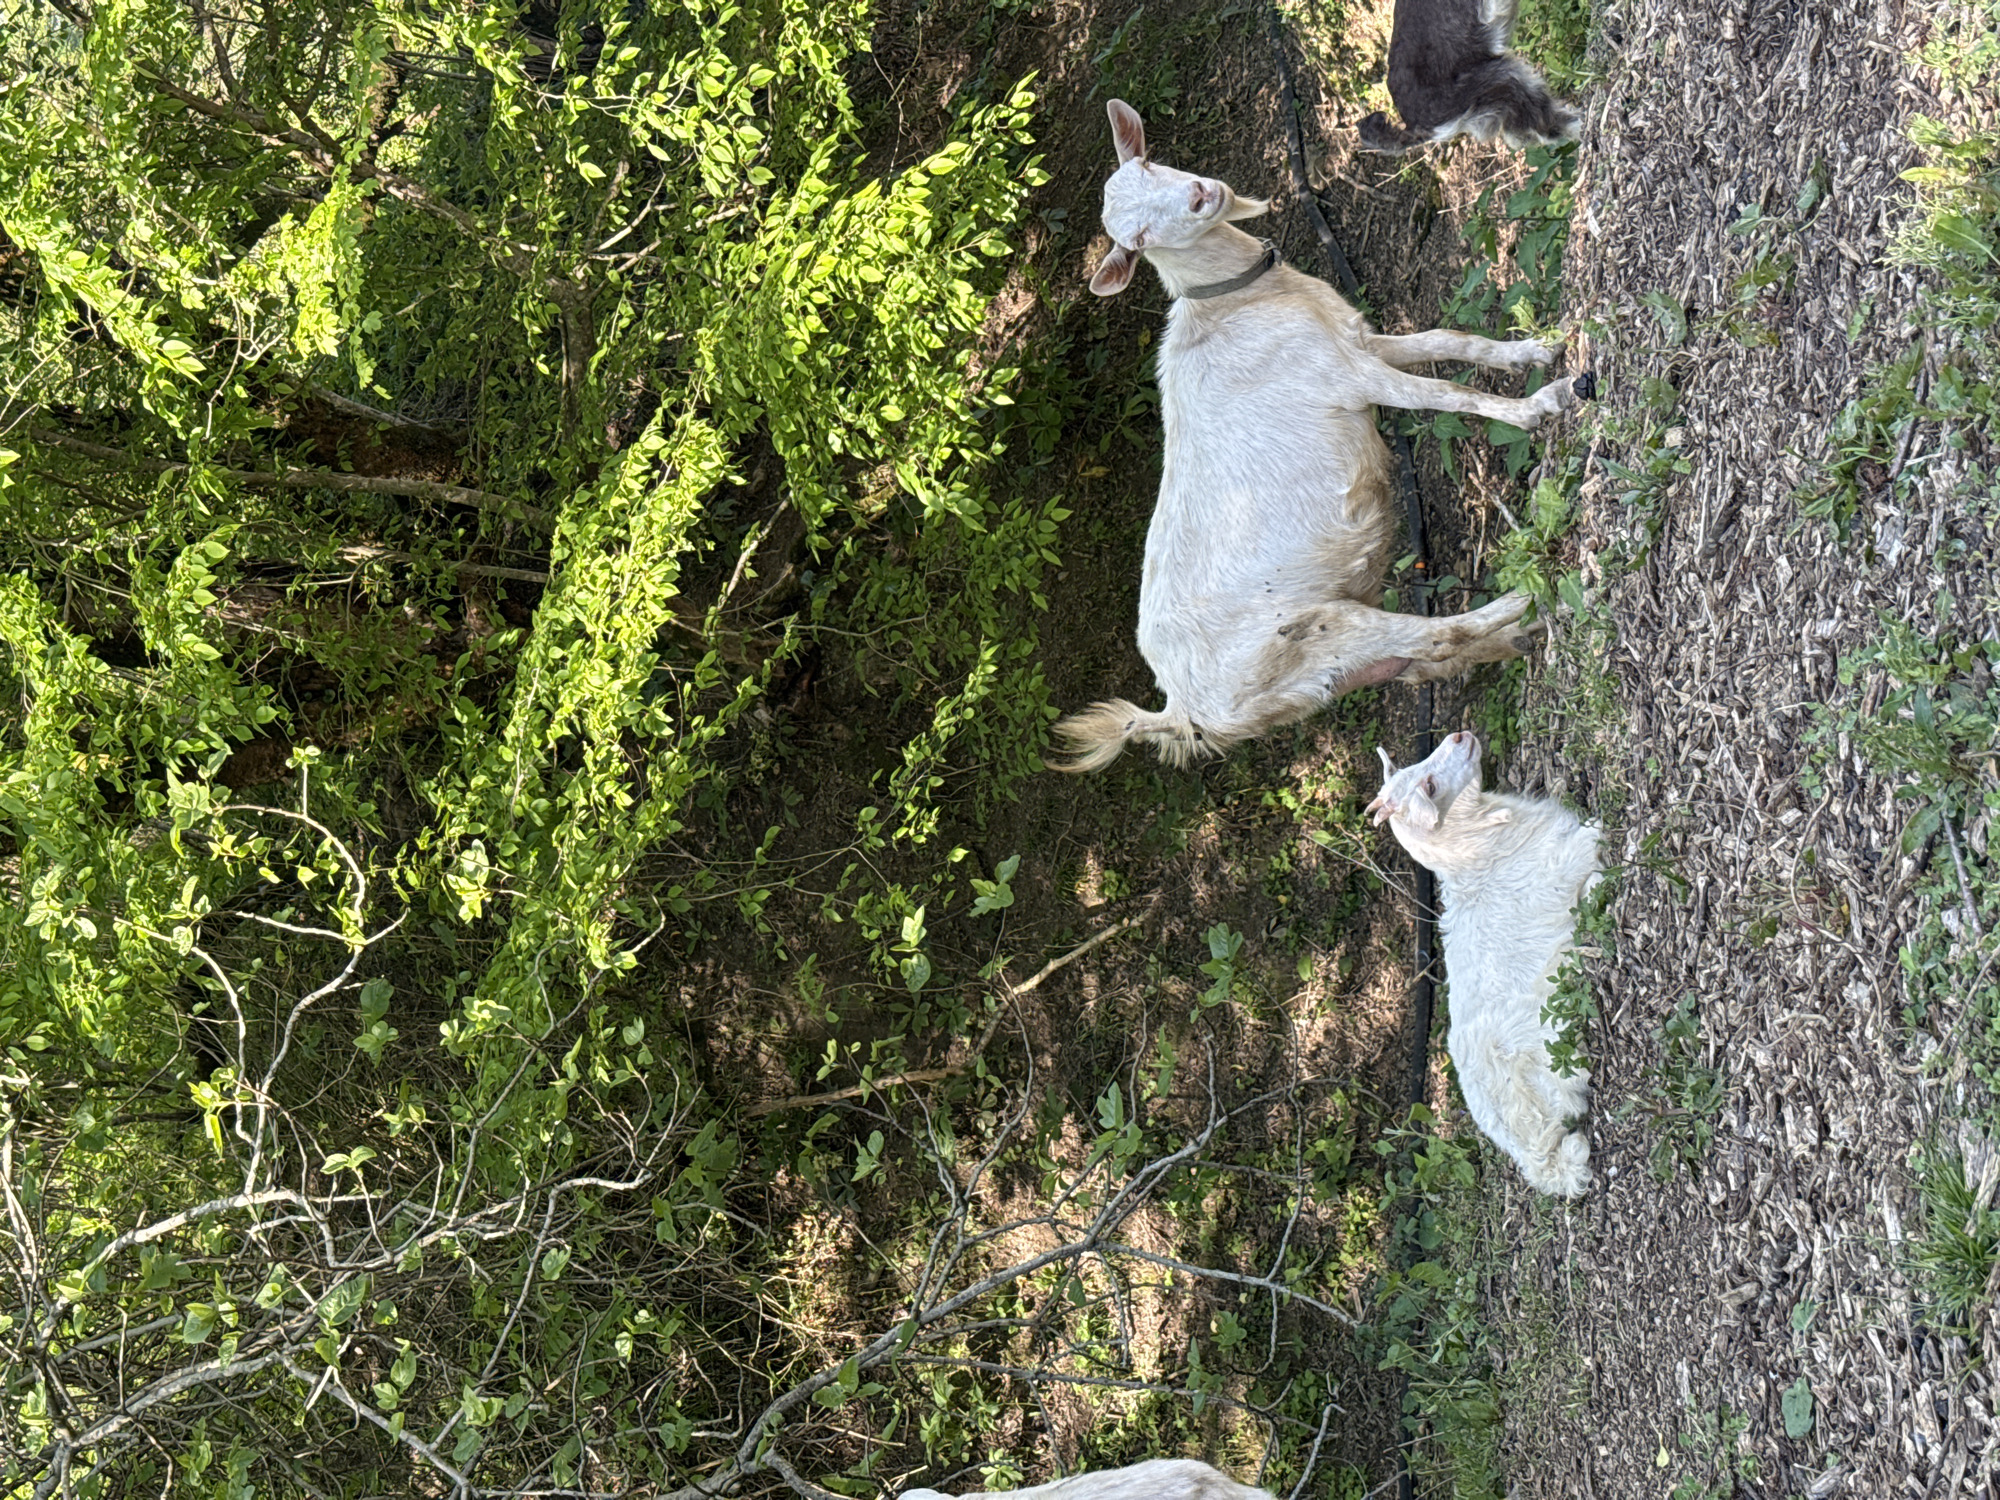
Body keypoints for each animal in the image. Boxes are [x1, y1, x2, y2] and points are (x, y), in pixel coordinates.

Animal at [1050, 99, 1593, 772]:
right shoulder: (1347, 375)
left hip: (1324, 675)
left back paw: (1526, 634)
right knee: (1441, 634)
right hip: (1319, 631)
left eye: (1148, 164)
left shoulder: (1360, 339)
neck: (1237, 305)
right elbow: (1446, 394)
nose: (1203, 195)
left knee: (1426, 662)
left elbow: (1448, 340)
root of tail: (1180, 712)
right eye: (1138, 240)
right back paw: (1531, 598)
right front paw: (1540, 405)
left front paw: (1533, 350)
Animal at [1367, 731, 1598, 1197]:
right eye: (1431, 787)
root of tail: (1531, 1154)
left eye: (1420, 772)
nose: (1459, 736)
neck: (1477, 854)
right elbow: (1591, 844)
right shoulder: (1561, 864)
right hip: (1554, 1053)